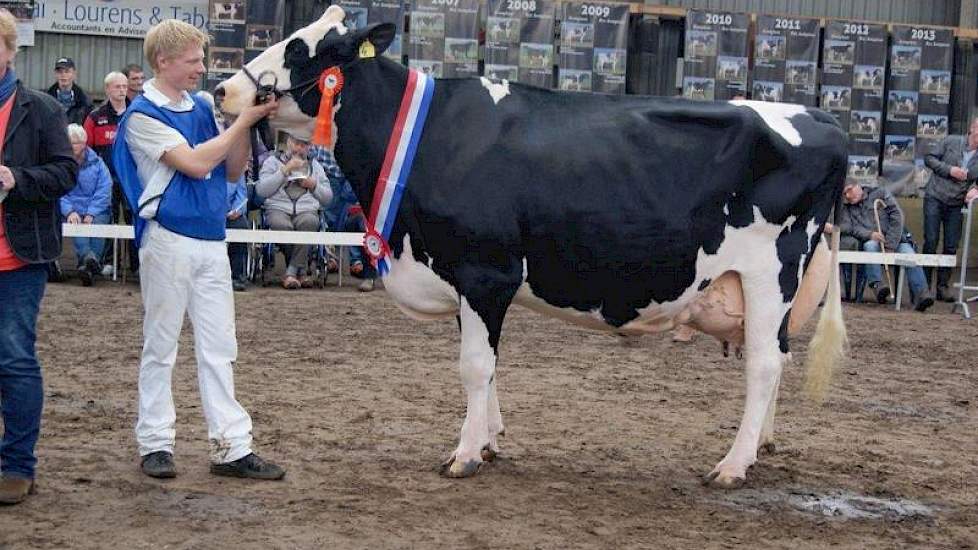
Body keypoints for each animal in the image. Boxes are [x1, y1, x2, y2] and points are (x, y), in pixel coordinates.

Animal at [215, 8, 848, 490]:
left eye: (301, 49)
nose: (225, 88)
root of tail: (821, 116)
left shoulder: (484, 270)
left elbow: (474, 366)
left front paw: (464, 455)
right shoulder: (463, 276)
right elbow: (486, 365)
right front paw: (489, 442)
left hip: (771, 273)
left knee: (764, 365)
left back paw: (731, 465)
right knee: (778, 358)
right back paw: (760, 447)